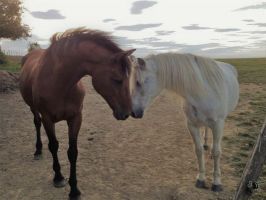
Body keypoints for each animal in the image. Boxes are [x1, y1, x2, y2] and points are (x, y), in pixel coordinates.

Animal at [19, 27, 135, 199]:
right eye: (117, 79)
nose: (127, 113)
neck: (58, 83)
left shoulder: (75, 118)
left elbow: (72, 152)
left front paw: (74, 190)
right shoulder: (48, 119)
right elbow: (53, 146)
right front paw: (59, 178)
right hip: (33, 109)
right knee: (37, 124)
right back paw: (38, 150)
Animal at [130, 53, 240, 192]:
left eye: (138, 82)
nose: (133, 112)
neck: (202, 91)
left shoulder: (218, 125)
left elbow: (216, 152)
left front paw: (216, 183)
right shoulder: (192, 125)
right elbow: (198, 150)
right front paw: (201, 179)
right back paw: (206, 145)